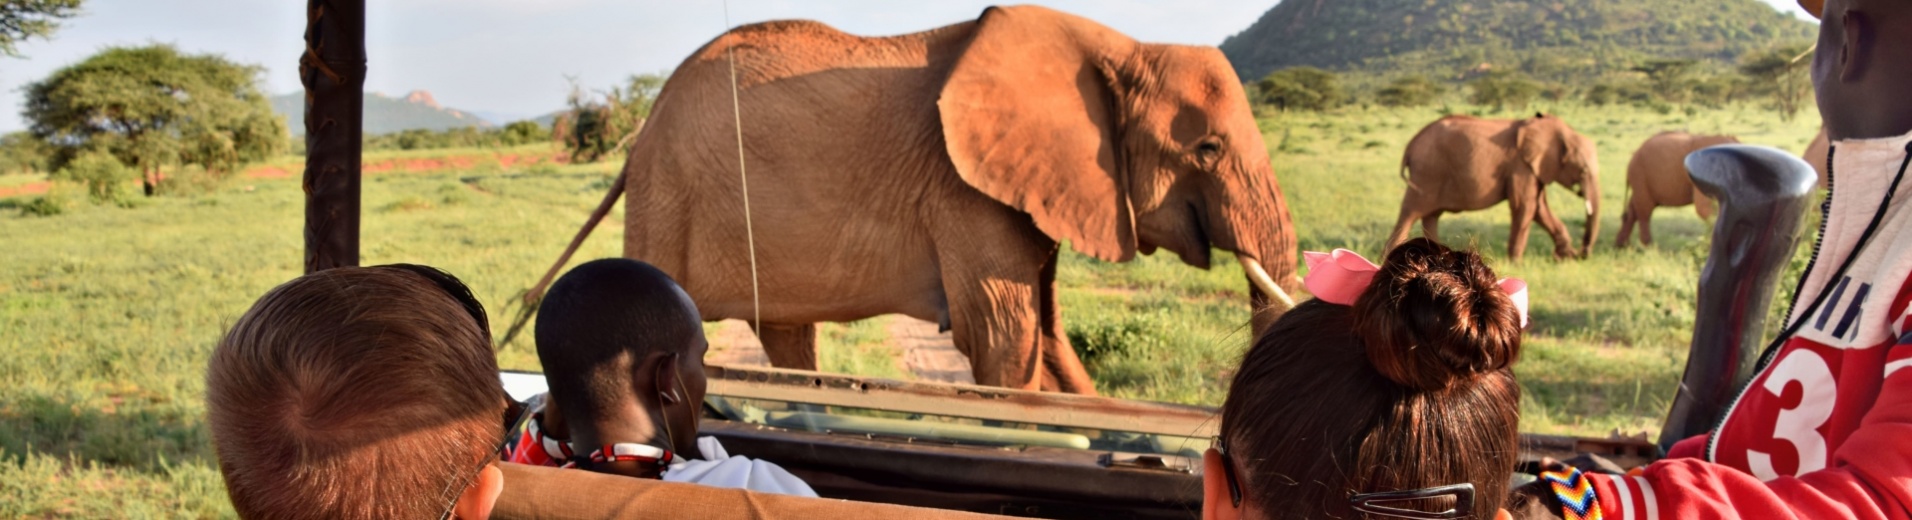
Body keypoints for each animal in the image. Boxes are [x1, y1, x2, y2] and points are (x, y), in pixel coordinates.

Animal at [523, 5, 1300, 393]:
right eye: (1208, 149)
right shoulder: (963, 189)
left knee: (786, 334)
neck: (1118, 44)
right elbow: (1003, 337)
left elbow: (1044, 336)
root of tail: (643, 128)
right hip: (669, 193)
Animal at [1391, 113, 1598, 260]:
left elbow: (1539, 208)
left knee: (1430, 216)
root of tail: (1411, 145)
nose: (1582, 255)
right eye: (1583, 170)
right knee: (1409, 213)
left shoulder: (1533, 169)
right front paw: (1515, 263)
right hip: (1427, 173)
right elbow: (1525, 206)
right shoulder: (1521, 167)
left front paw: (1564, 257)